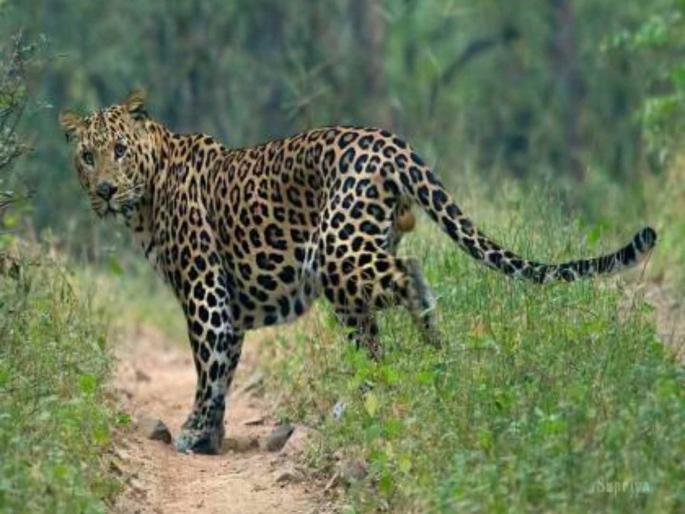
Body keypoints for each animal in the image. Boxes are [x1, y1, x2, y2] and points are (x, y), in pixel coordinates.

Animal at [59, 90, 656, 455]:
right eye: (88, 157)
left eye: (119, 150)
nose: (104, 190)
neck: (147, 197)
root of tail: (391, 142)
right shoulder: (225, 303)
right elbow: (223, 370)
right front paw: (211, 436)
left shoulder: (206, 294)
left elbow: (208, 370)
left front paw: (191, 434)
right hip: (351, 271)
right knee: (373, 338)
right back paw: (374, 395)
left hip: (338, 252)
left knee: (410, 276)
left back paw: (433, 355)